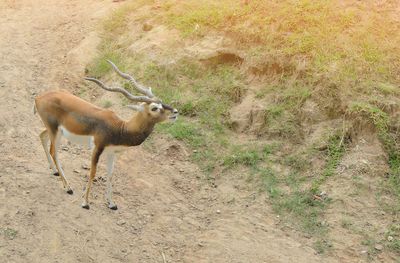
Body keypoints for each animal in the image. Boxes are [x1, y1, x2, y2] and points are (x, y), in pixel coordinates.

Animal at [33, 59, 177, 210]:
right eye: (154, 108)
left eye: (162, 103)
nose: (175, 112)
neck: (120, 128)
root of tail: (39, 97)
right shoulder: (97, 148)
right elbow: (93, 172)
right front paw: (85, 203)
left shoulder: (111, 152)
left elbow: (110, 175)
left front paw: (112, 203)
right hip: (55, 131)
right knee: (54, 152)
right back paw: (68, 188)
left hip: (54, 131)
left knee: (42, 136)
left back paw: (55, 172)